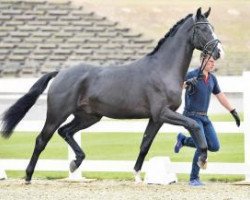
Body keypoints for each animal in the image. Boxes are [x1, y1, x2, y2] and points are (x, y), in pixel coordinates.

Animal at [0, 7, 223, 184]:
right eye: (203, 28)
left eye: (212, 27)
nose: (219, 51)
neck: (163, 69)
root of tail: (60, 73)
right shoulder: (163, 113)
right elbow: (194, 125)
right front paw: (203, 158)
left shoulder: (156, 118)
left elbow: (145, 144)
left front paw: (137, 175)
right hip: (57, 114)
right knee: (42, 139)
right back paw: (28, 176)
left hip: (89, 117)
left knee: (66, 132)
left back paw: (75, 163)